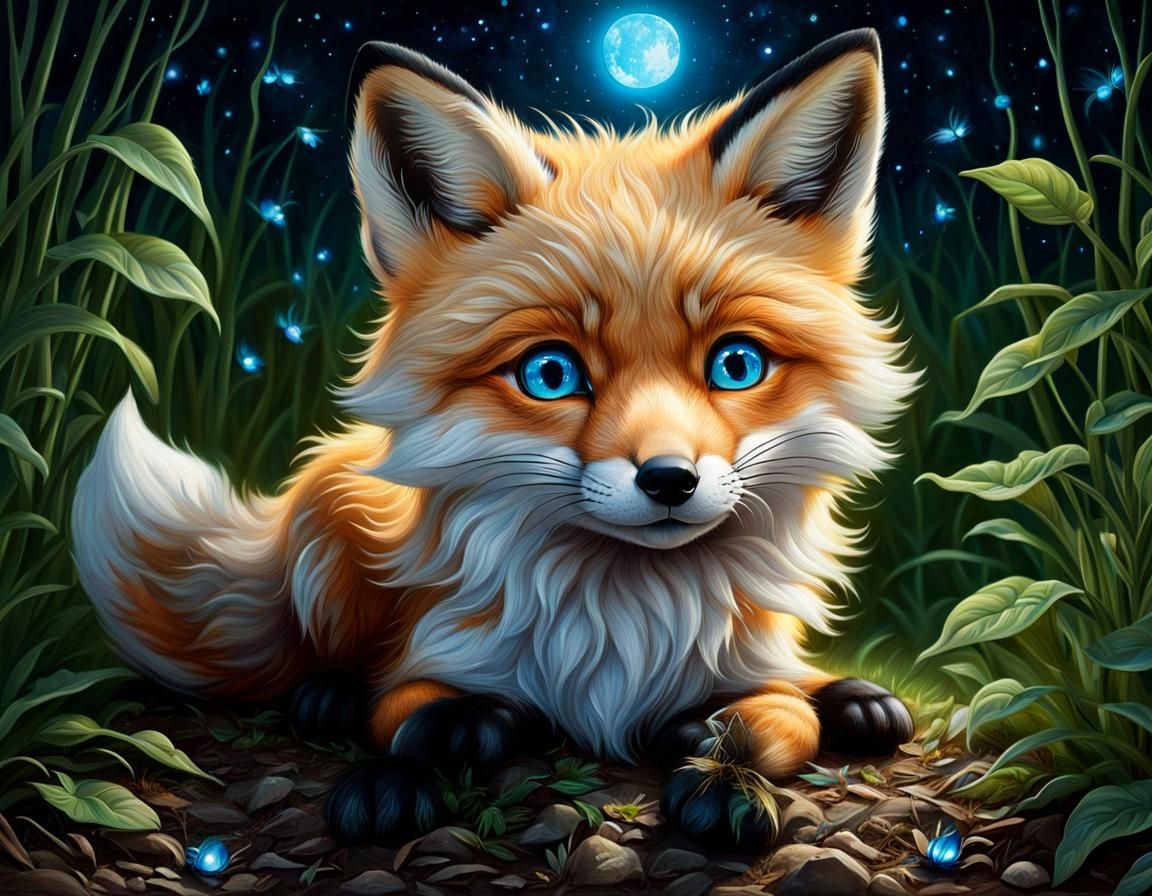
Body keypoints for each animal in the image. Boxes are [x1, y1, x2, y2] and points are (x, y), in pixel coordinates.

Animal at [73, 28, 918, 847]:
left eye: (736, 365)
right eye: (549, 373)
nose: (670, 480)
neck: (624, 625)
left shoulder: (750, 667)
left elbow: (777, 717)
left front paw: (727, 774)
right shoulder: (435, 652)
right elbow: (412, 715)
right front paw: (401, 773)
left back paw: (855, 699)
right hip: (327, 517)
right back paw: (327, 695)